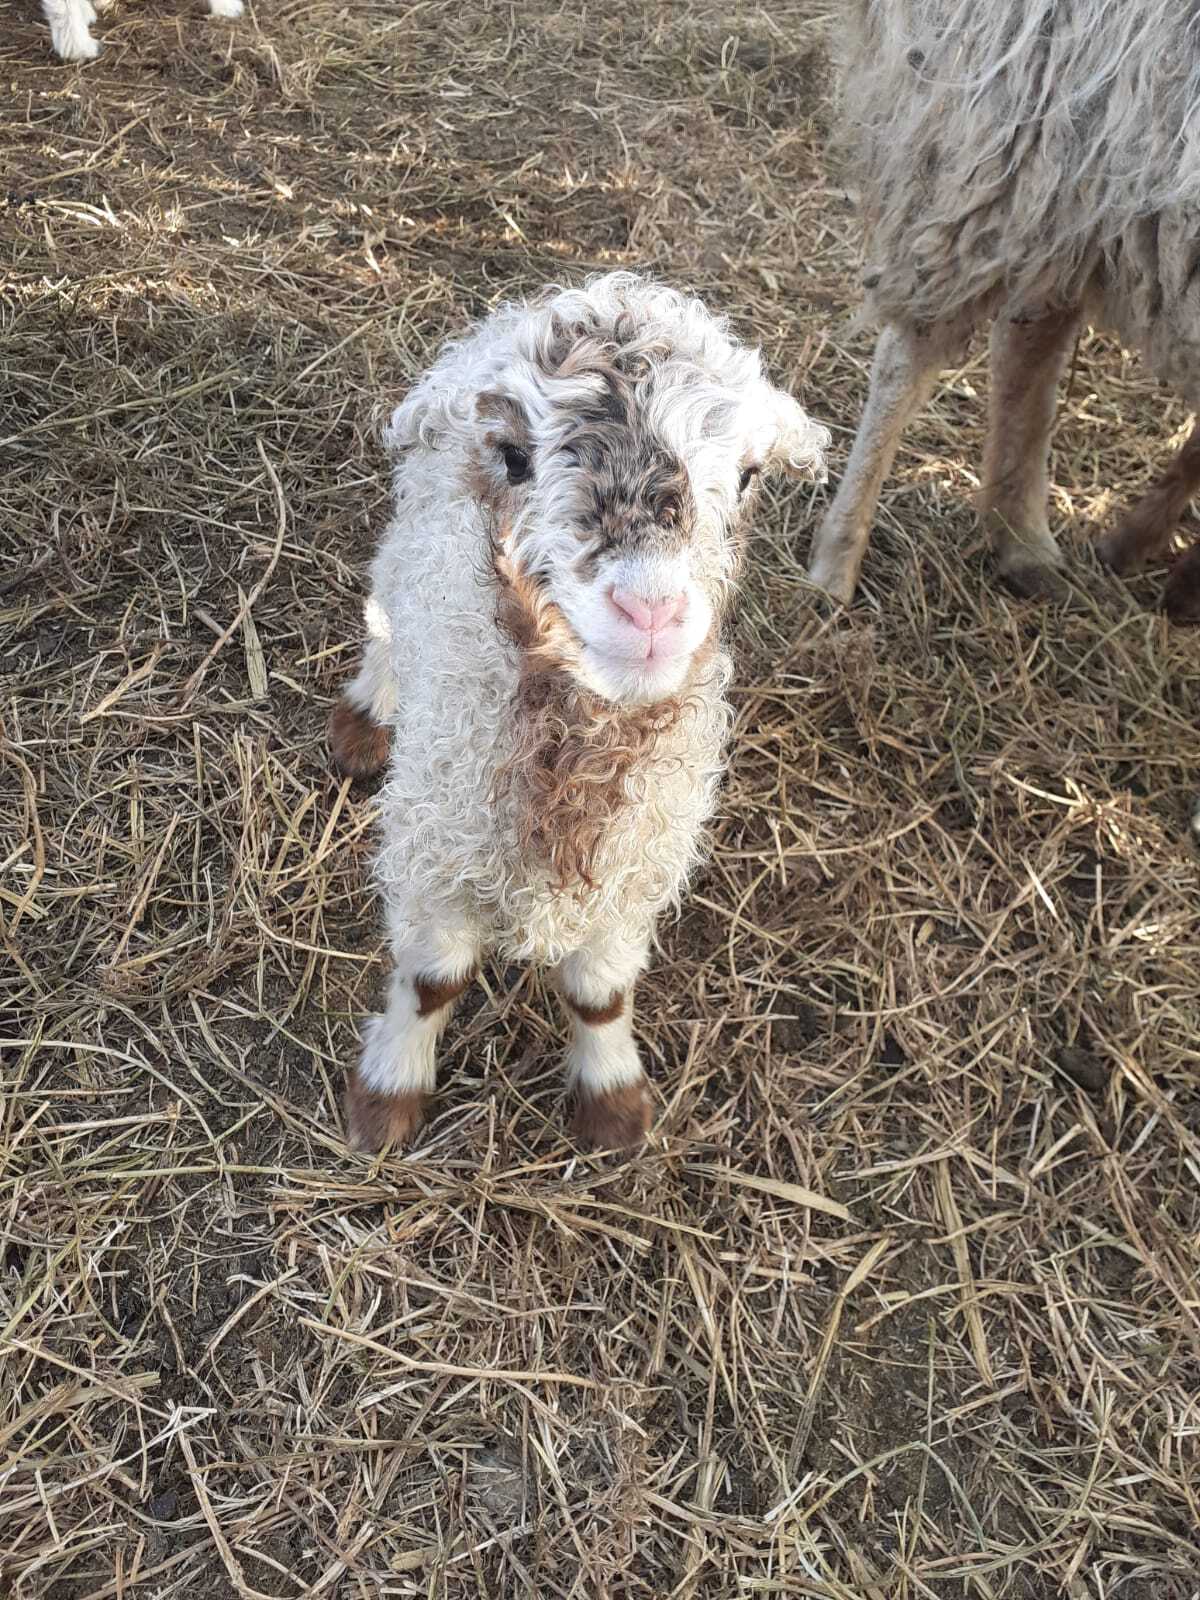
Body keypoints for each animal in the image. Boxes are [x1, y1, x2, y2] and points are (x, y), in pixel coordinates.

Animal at [331, 272, 838, 1152]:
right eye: (514, 456)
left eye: (746, 475)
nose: (651, 611)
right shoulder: (439, 846)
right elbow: (433, 981)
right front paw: (388, 1095)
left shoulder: (636, 868)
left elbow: (600, 994)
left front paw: (613, 1106)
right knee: (386, 610)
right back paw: (368, 711)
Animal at [809, 0, 1200, 617]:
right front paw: (1165, 571)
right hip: (1015, 121)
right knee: (915, 357)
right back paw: (837, 561)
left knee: (1028, 338)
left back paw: (1023, 545)